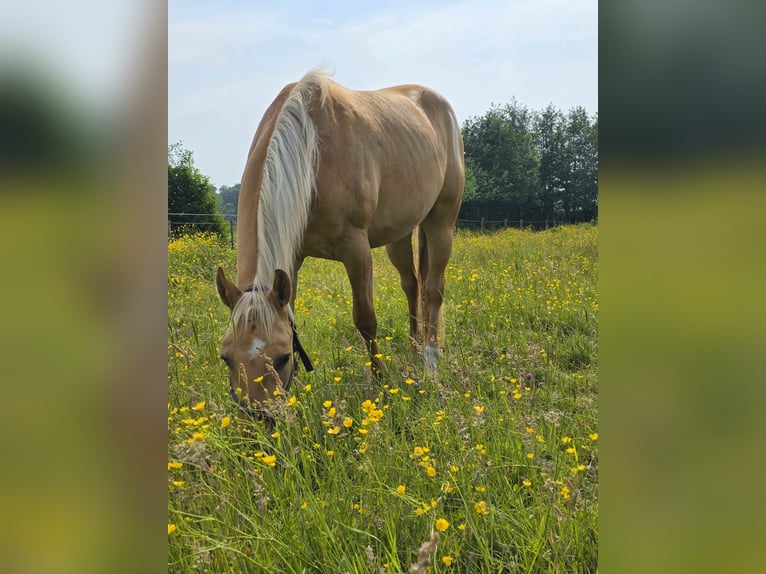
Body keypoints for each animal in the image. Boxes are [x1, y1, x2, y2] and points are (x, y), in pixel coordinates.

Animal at [215, 70, 464, 418]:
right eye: (226, 357)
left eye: (282, 357)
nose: (258, 422)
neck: (310, 153)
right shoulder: (292, 261)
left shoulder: (356, 250)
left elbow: (366, 320)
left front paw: (379, 382)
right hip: (400, 233)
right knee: (412, 285)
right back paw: (415, 351)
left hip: (441, 223)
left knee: (433, 292)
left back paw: (429, 363)